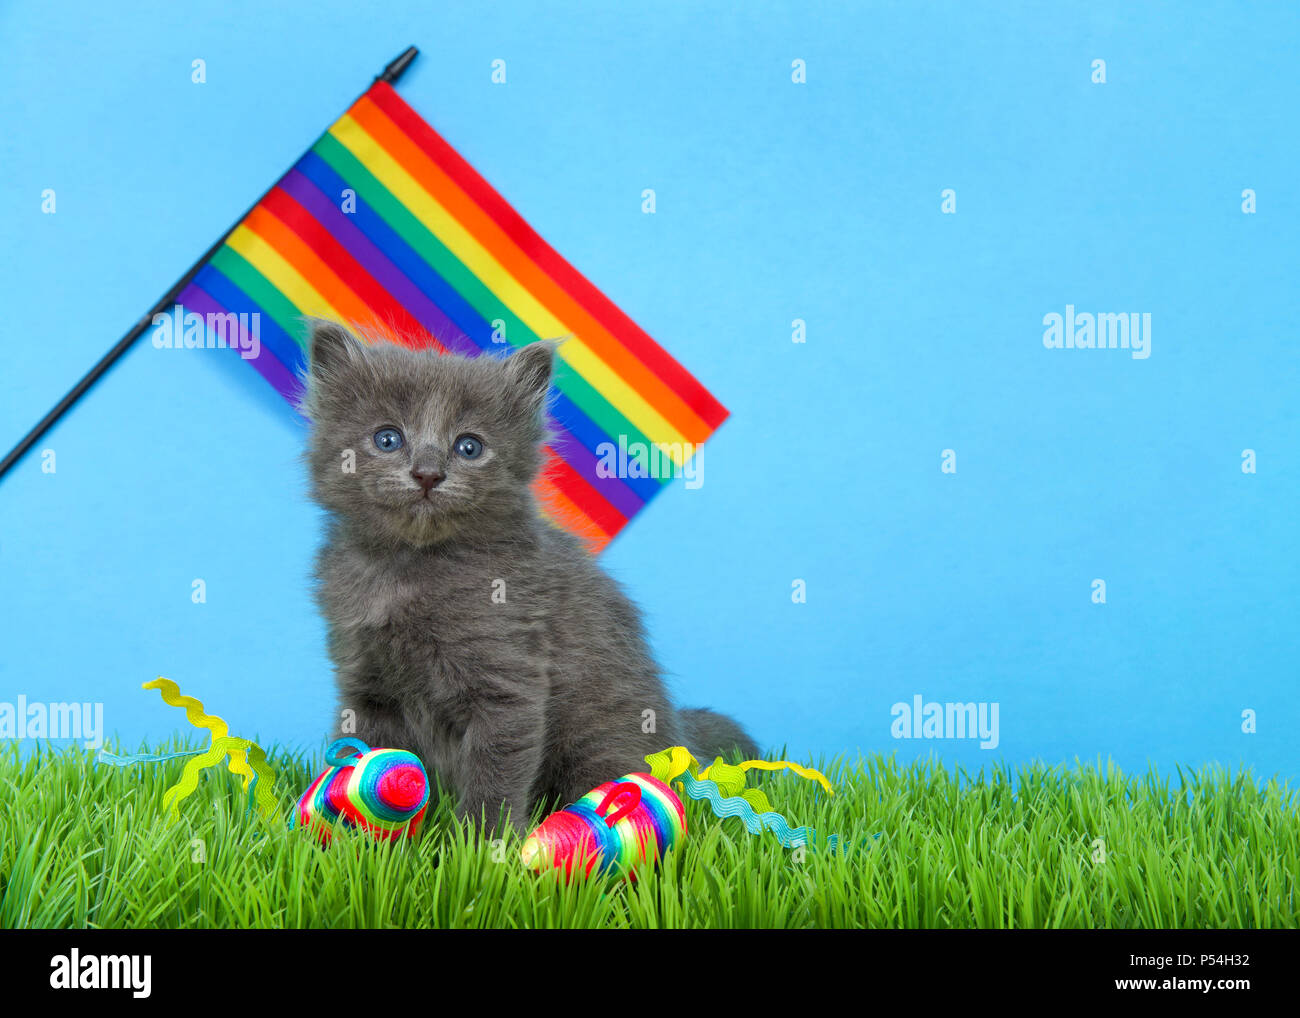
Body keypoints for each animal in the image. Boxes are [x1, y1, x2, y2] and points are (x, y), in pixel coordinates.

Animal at [299, 322, 759, 832]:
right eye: (387, 439)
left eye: (469, 447)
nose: (427, 474)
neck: (411, 566)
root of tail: (679, 734)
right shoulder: (366, 685)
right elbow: (368, 752)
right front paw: (358, 836)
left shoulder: (508, 680)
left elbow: (495, 771)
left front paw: (481, 842)